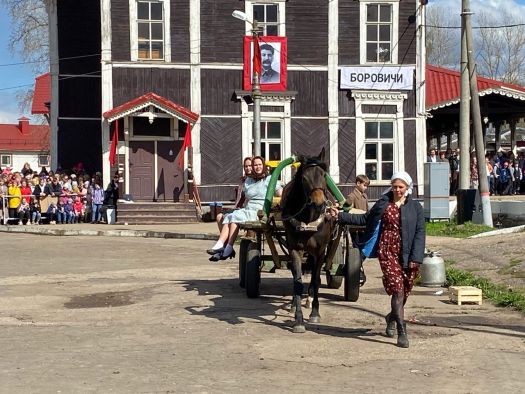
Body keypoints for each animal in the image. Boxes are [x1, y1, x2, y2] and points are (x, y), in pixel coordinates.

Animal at [280, 148, 334, 332]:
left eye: (324, 175)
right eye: (304, 178)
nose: (319, 204)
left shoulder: (320, 251)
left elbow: (316, 280)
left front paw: (315, 313)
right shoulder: (294, 248)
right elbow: (297, 281)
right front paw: (298, 319)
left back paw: (310, 300)